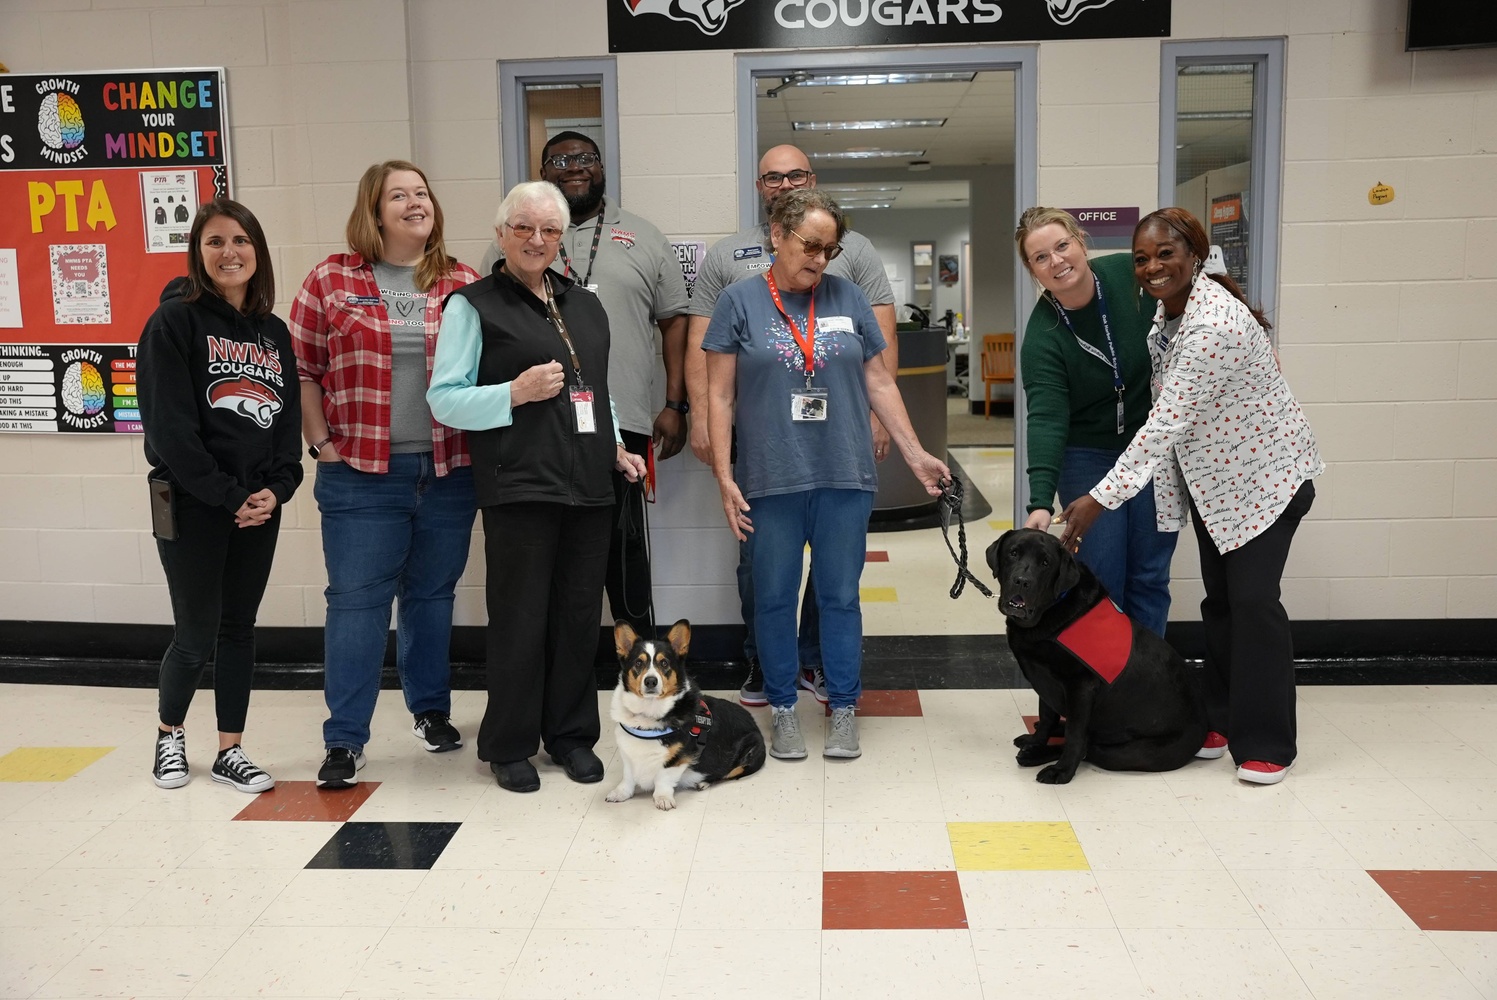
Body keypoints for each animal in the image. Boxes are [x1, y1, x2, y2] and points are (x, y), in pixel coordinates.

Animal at [604, 619, 766, 808]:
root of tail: (754, 722)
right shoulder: (628, 754)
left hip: (751, 757)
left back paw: (703, 782)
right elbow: (627, 777)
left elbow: (663, 779)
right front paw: (620, 793)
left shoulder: (678, 759)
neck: (648, 713)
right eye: (638, 663)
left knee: (727, 772)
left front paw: (663, 799)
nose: (651, 681)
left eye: (664, 663)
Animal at [988, 526, 1209, 784]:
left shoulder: (1081, 686)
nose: (1022, 581)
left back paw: (1039, 756)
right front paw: (1036, 740)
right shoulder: (1045, 680)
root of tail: (1205, 727)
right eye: (1013, 553)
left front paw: (1061, 771)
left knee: (1088, 746)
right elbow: (1047, 716)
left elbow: (1075, 736)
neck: (1050, 612)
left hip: (1125, 752)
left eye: (1045, 563)